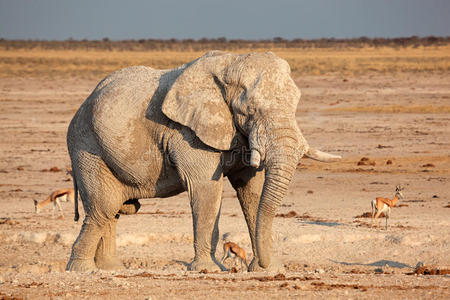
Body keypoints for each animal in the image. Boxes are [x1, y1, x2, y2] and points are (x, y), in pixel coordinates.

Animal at [66, 51, 342, 272]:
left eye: (296, 104)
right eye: (249, 111)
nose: (260, 264)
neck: (230, 64)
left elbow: (251, 191)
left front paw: (269, 270)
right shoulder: (188, 134)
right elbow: (205, 189)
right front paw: (208, 270)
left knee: (113, 211)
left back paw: (110, 268)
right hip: (86, 147)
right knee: (103, 208)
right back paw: (82, 270)